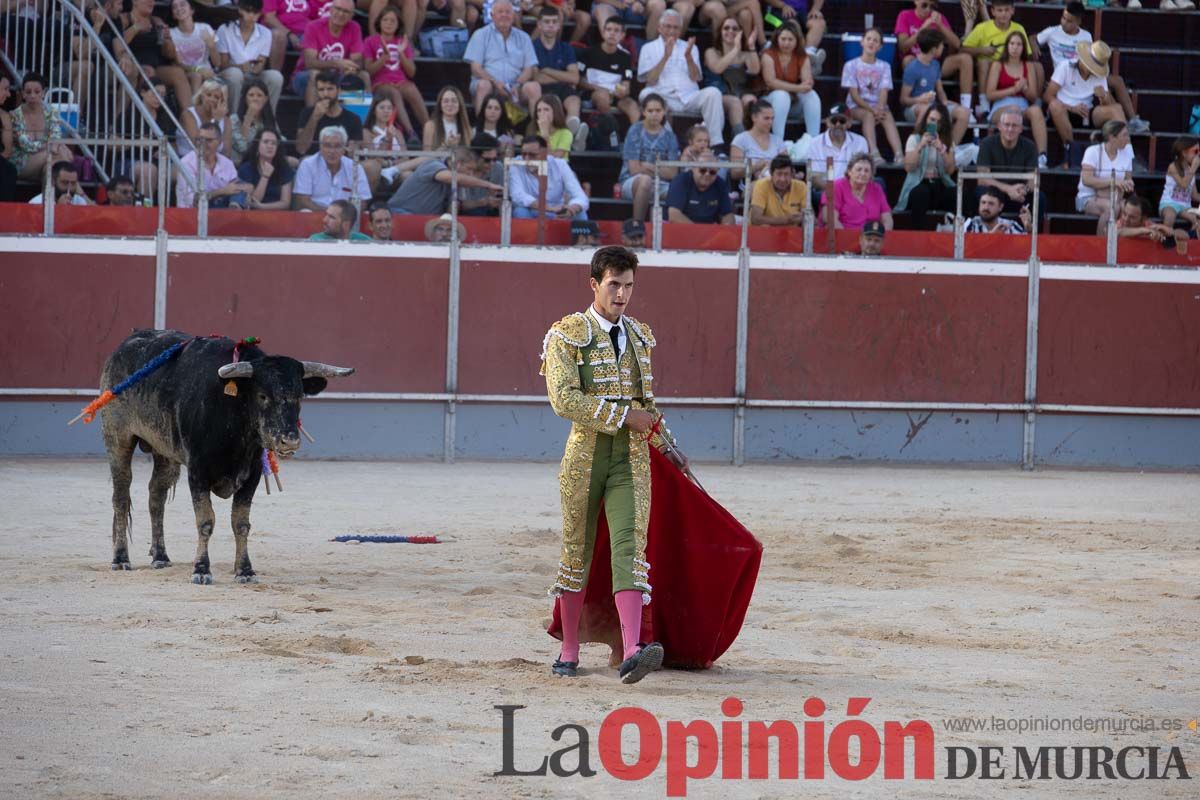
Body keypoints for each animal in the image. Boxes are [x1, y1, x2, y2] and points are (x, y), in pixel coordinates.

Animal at [99, 328, 352, 585]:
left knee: (156, 496)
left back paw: (160, 557)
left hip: (164, 451)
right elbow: (205, 521)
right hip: (117, 437)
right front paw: (201, 570)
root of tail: (124, 345)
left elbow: (240, 523)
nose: (289, 441)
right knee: (121, 496)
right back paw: (120, 559)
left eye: (299, 396)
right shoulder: (197, 471)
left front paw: (245, 571)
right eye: (262, 396)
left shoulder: (252, 474)